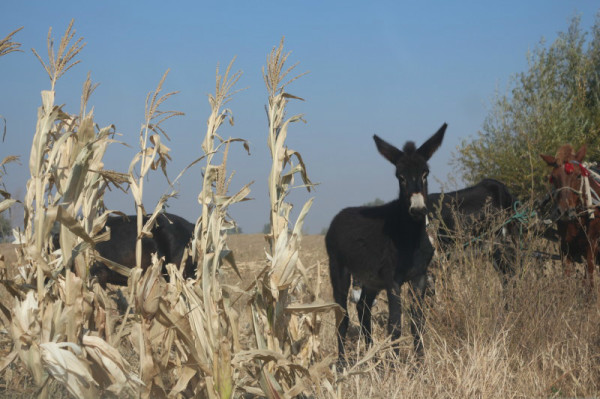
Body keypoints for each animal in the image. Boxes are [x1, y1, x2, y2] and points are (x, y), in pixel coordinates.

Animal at [326, 122, 448, 366]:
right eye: (400, 176)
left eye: (425, 173)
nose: (418, 209)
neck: (409, 237)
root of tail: (339, 215)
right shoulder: (393, 281)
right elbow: (395, 326)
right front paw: (396, 366)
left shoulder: (419, 277)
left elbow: (417, 324)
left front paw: (419, 365)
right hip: (339, 270)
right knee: (342, 316)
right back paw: (343, 363)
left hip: (371, 280)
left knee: (363, 308)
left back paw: (369, 357)